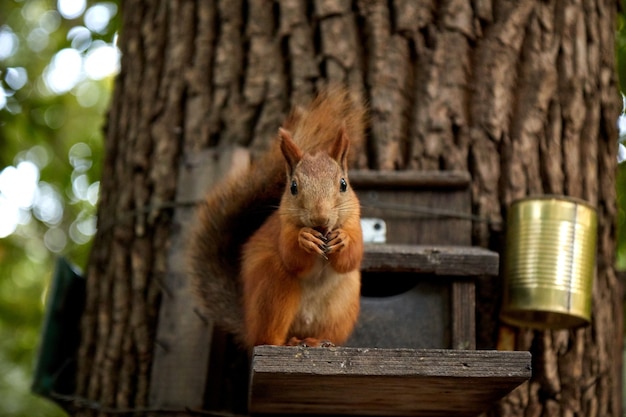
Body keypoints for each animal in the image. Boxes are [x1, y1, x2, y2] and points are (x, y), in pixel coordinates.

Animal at [190, 87, 366, 348]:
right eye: (293, 187)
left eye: (343, 184)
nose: (320, 218)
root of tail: (249, 325)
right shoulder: (282, 227)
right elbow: (291, 256)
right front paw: (305, 239)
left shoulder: (355, 222)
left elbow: (352, 257)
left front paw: (342, 239)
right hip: (273, 290)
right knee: (267, 336)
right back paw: (287, 343)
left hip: (341, 307)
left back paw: (316, 341)